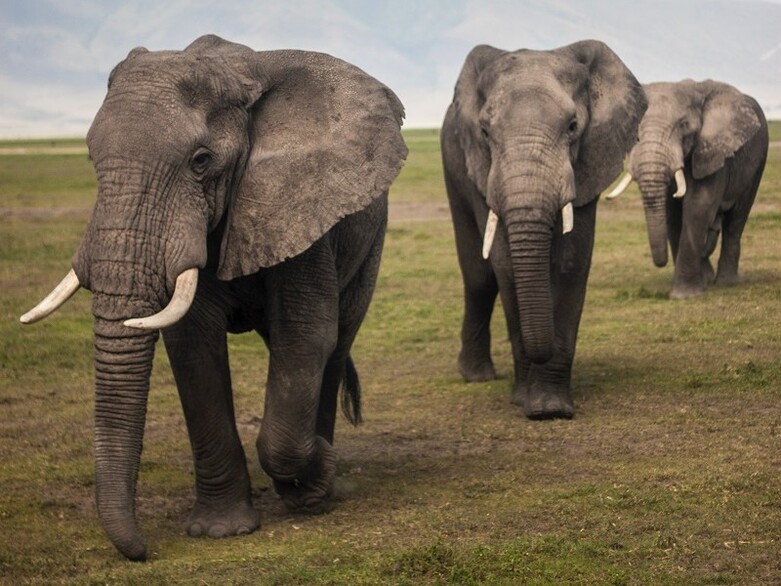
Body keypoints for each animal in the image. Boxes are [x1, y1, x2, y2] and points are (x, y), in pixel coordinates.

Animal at [19, 34, 408, 560]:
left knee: (336, 341)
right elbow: (193, 345)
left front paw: (315, 478)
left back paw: (318, 488)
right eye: (90, 157)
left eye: (201, 161)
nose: (141, 550)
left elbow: (305, 336)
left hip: (371, 242)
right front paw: (220, 531)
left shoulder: (298, 202)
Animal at [438, 38, 644, 418]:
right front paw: (526, 402)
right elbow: (504, 266)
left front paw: (551, 408)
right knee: (479, 277)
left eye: (573, 126)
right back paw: (476, 376)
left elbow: (571, 262)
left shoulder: (589, 161)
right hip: (453, 165)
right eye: (485, 132)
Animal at [608, 78, 764, 296]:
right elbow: (672, 214)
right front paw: (697, 285)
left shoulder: (712, 151)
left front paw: (684, 295)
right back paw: (708, 278)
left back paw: (726, 282)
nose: (661, 263)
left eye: (684, 125)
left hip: (758, 162)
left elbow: (699, 205)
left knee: (736, 219)